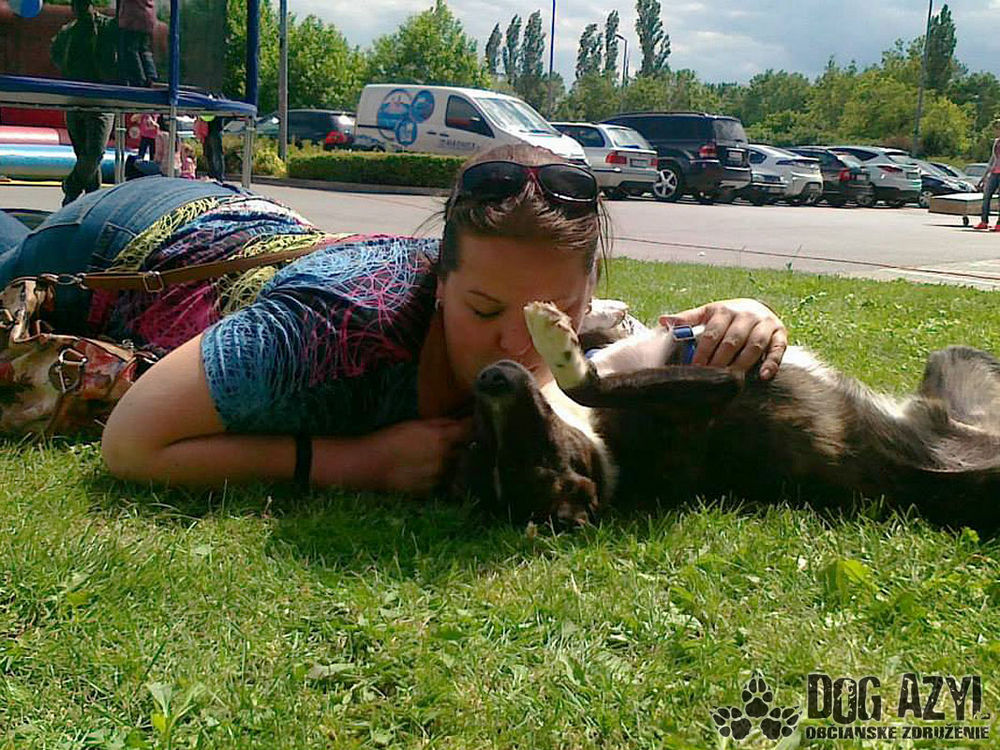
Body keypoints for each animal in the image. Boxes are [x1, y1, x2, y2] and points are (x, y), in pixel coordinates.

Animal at [462, 301, 1000, 532]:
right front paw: (560, 346)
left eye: (482, 442)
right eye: (536, 453)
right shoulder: (720, 387)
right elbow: (587, 382)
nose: (490, 379)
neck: (605, 451)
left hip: (955, 358)